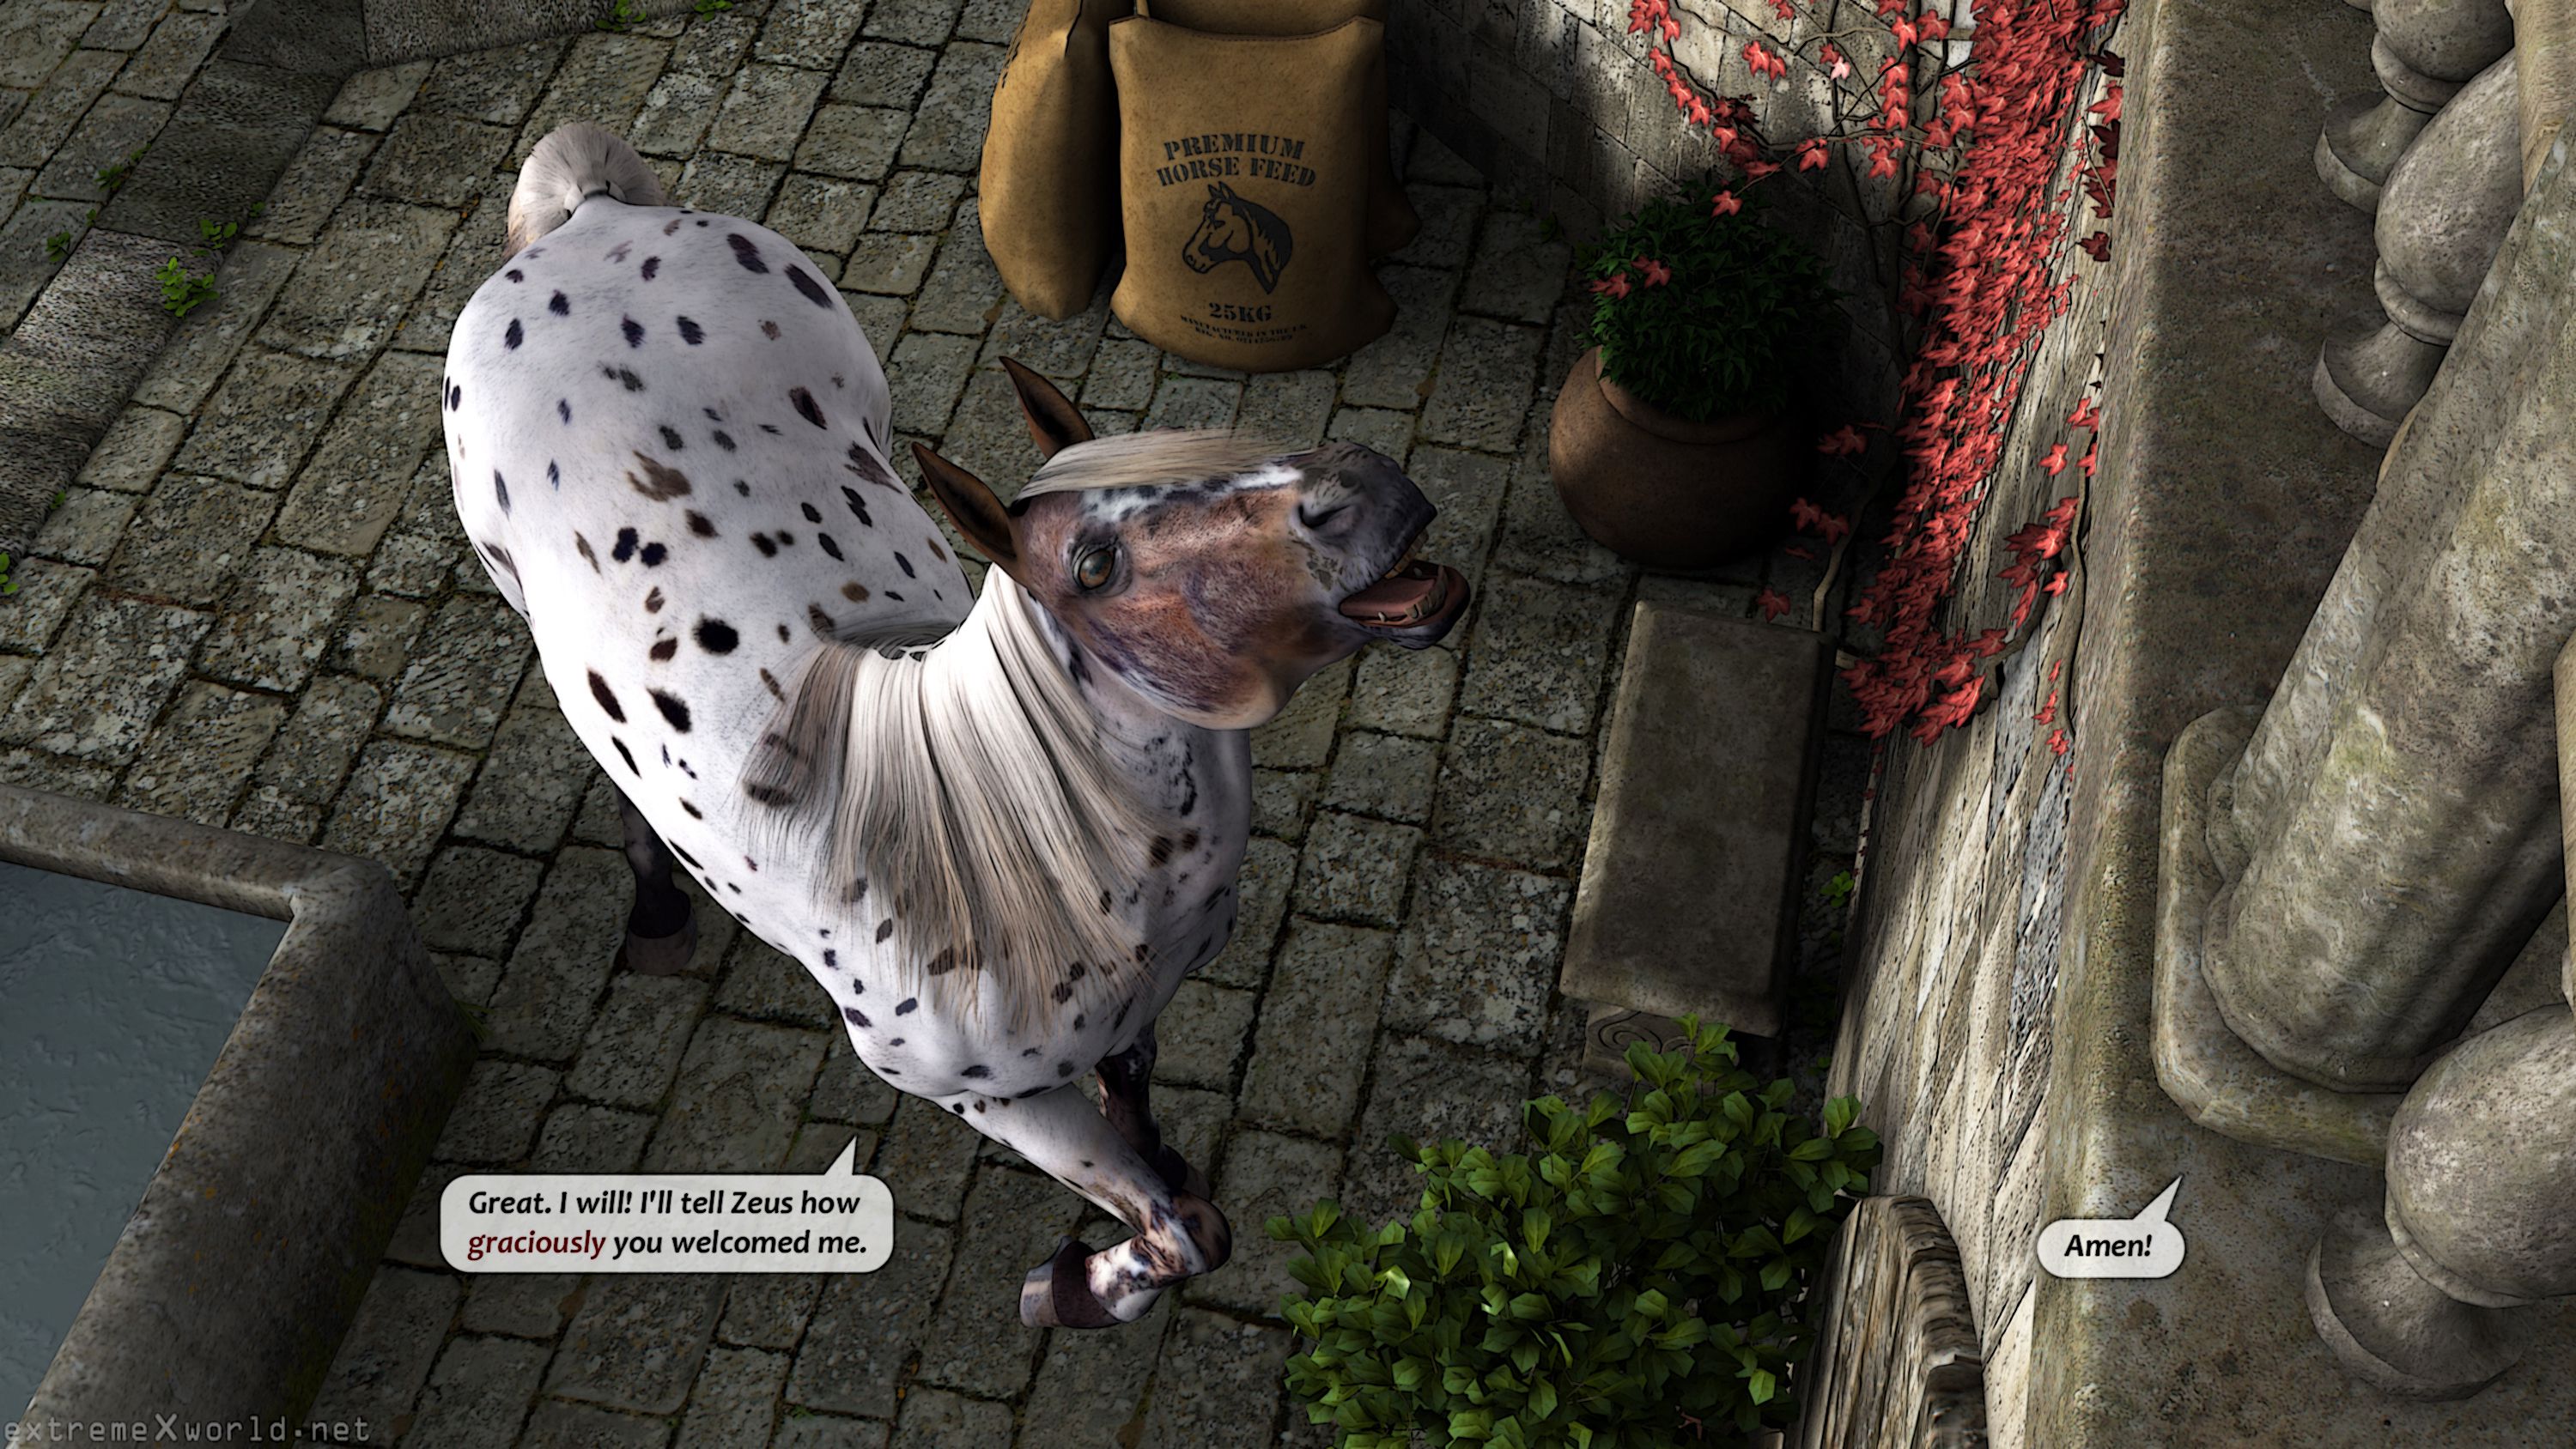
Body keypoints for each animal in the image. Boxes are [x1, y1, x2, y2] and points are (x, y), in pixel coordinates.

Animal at [444, 123, 1469, 1326]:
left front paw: (1146, 1182)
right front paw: (1065, 1286)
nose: (1370, 485)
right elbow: (1179, 1233)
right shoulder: (997, 1099)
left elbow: (1156, 1149)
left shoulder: (1135, 1017)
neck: (1000, 834)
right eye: (1092, 566)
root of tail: (595, 221)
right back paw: (657, 913)